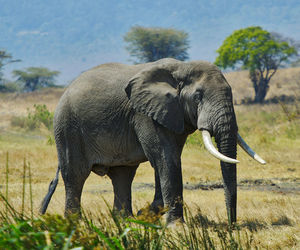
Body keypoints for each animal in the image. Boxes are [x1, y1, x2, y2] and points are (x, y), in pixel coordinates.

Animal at [39, 58, 264, 225]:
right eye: (198, 96)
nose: (232, 225)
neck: (182, 67)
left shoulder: (173, 115)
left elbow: (166, 162)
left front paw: (146, 214)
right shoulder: (145, 114)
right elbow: (166, 159)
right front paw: (175, 226)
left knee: (122, 176)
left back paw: (126, 221)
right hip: (67, 127)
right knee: (76, 176)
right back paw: (74, 223)